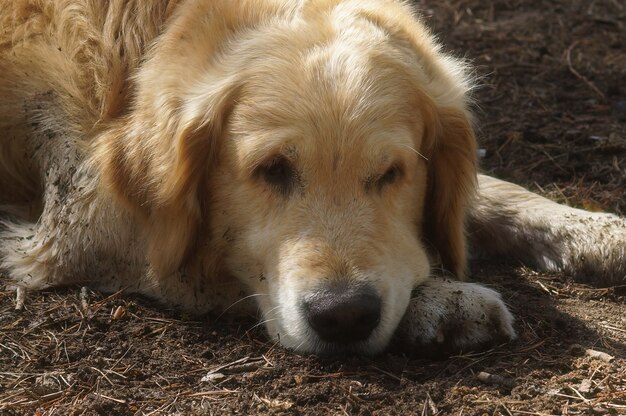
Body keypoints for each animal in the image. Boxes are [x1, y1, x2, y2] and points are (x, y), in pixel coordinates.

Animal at [1, 0, 624, 354]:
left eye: (392, 173)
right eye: (272, 170)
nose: (344, 314)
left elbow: (493, 193)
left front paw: (595, 229)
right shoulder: (85, 225)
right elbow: (224, 271)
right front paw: (442, 300)